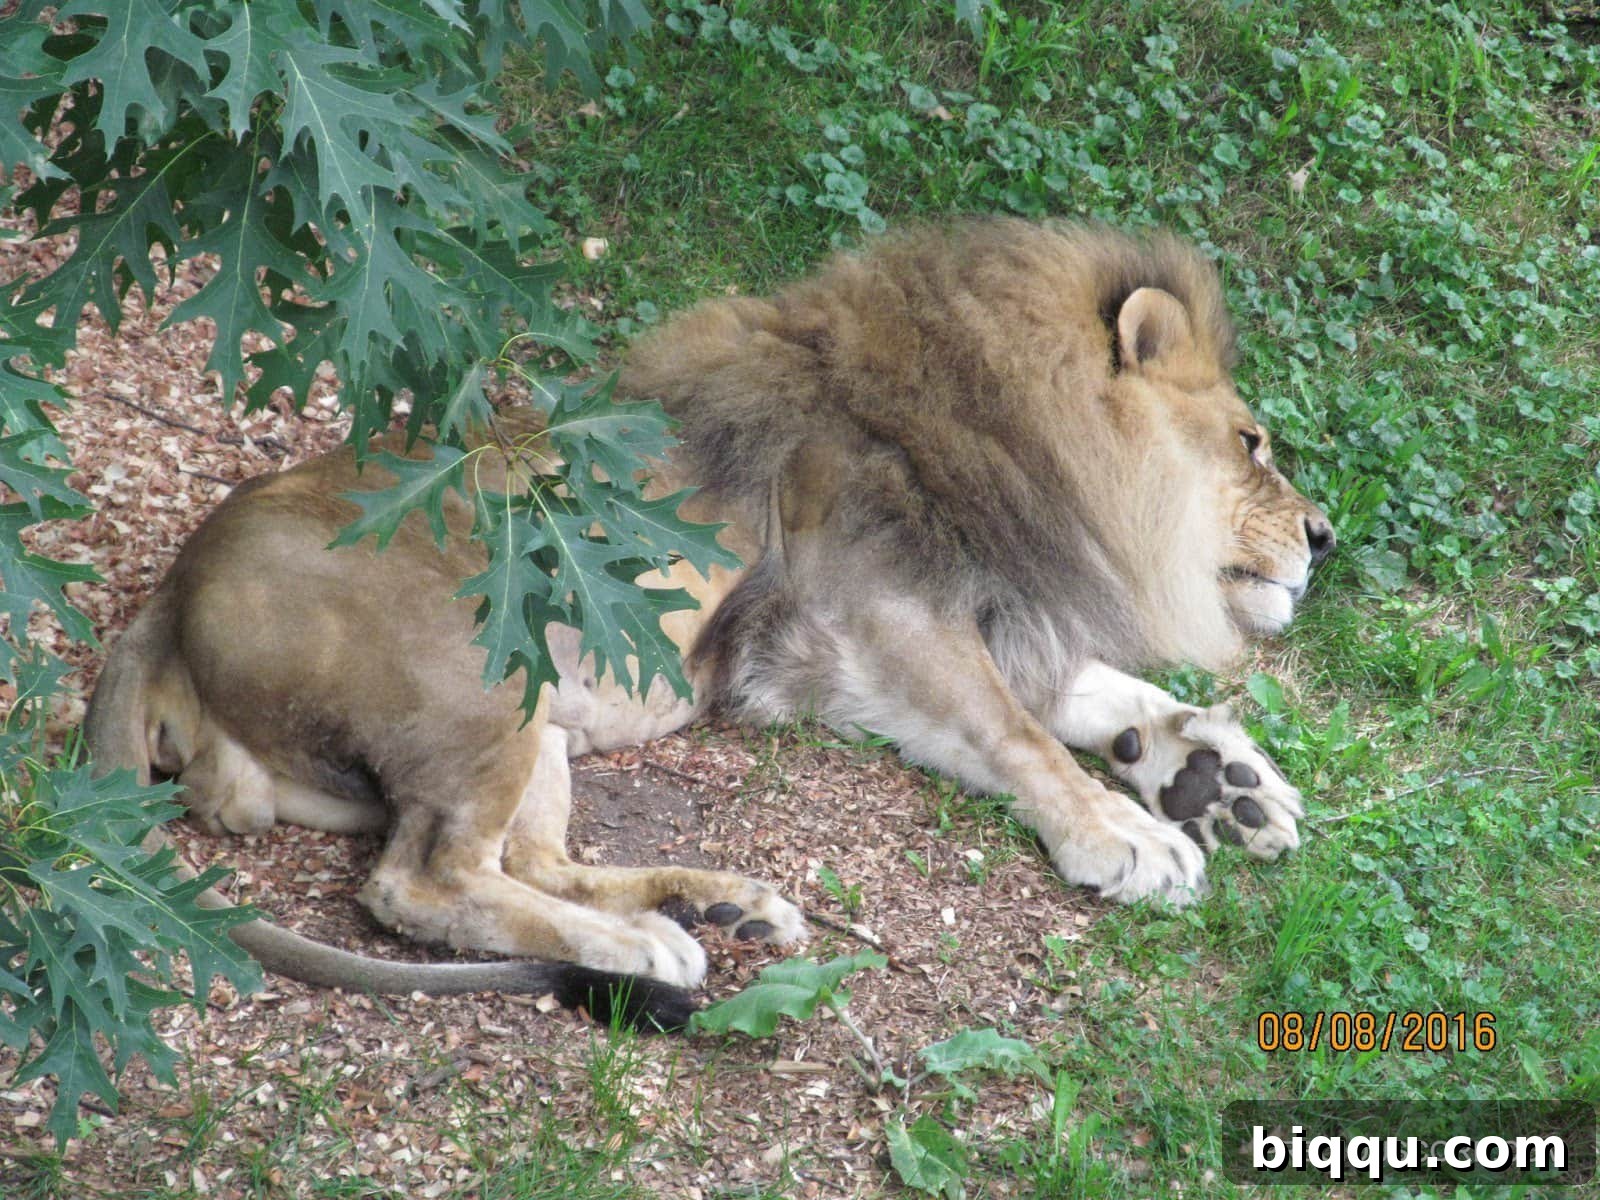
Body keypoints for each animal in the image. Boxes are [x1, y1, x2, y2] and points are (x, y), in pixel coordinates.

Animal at [85, 218, 1333, 1028]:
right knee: (421, 882)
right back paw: (647, 944)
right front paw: (1127, 833)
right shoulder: (874, 610)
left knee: (529, 857)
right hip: (481, 671)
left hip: (536, 721)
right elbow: (1019, 734)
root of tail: (169, 597)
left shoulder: (929, 630)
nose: (1324, 537)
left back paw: (718, 906)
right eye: (1252, 442)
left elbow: (1103, 697)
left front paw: (1217, 777)